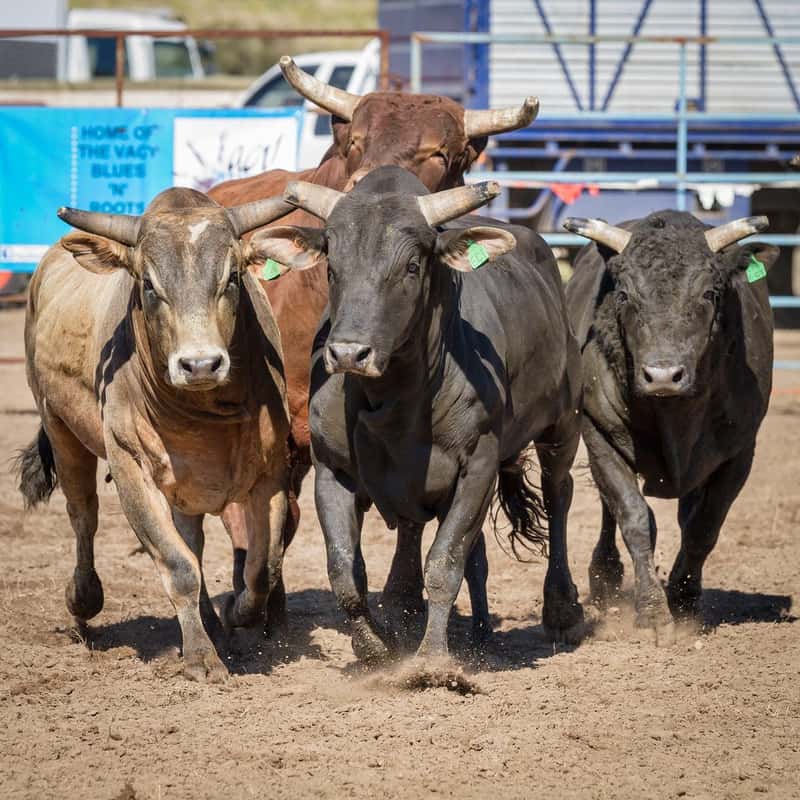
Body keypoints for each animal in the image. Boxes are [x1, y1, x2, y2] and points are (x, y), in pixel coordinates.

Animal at [17, 188, 295, 682]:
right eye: (149, 285)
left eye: (233, 277)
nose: (200, 365)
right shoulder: (131, 468)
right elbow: (178, 566)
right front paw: (201, 657)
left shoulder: (271, 471)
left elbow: (263, 567)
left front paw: (236, 613)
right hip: (60, 428)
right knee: (83, 514)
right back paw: (83, 598)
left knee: (193, 539)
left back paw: (210, 620)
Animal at [248, 165, 585, 662]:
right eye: (332, 268)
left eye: (411, 266)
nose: (348, 353)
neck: (394, 399)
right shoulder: (332, 471)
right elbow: (344, 572)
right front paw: (375, 649)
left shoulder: (477, 467)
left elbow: (444, 563)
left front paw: (431, 661)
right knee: (439, 541)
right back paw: (464, 628)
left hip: (562, 425)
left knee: (558, 494)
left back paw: (561, 610)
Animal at [563, 211, 777, 645]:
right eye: (624, 296)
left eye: (710, 293)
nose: (663, 375)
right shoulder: (599, 434)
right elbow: (633, 517)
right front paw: (653, 612)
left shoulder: (739, 452)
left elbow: (704, 526)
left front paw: (684, 599)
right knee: (612, 512)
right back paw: (605, 576)